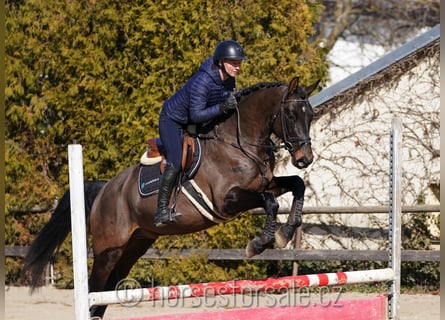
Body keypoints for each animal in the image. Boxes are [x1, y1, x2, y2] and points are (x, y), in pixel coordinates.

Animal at [22, 77, 320, 318]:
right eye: (291, 114)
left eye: (311, 115)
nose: (305, 159)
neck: (239, 142)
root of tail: (105, 189)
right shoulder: (227, 200)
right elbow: (270, 202)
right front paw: (261, 243)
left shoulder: (265, 184)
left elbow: (296, 185)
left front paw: (286, 231)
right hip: (109, 249)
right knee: (95, 292)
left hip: (136, 244)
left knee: (107, 292)